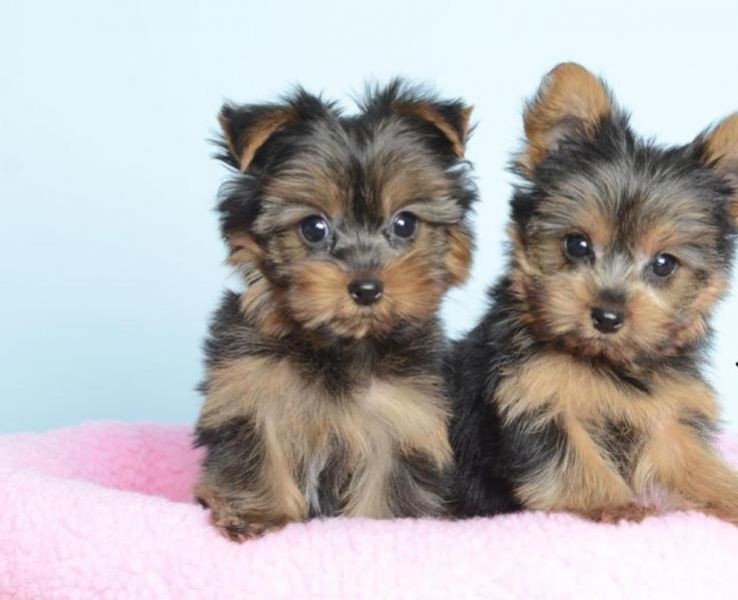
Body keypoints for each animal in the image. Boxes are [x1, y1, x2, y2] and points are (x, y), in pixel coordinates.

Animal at [194, 80, 477, 540]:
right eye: (314, 227)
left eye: (404, 224)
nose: (366, 288)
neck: (338, 345)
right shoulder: (249, 390)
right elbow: (257, 454)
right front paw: (260, 516)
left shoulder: (404, 416)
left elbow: (387, 487)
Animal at [449, 63, 738, 524]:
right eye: (577, 244)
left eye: (664, 264)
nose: (607, 316)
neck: (608, 362)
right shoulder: (535, 398)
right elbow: (575, 461)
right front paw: (616, 503)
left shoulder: (668, 417)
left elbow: (696, 464)